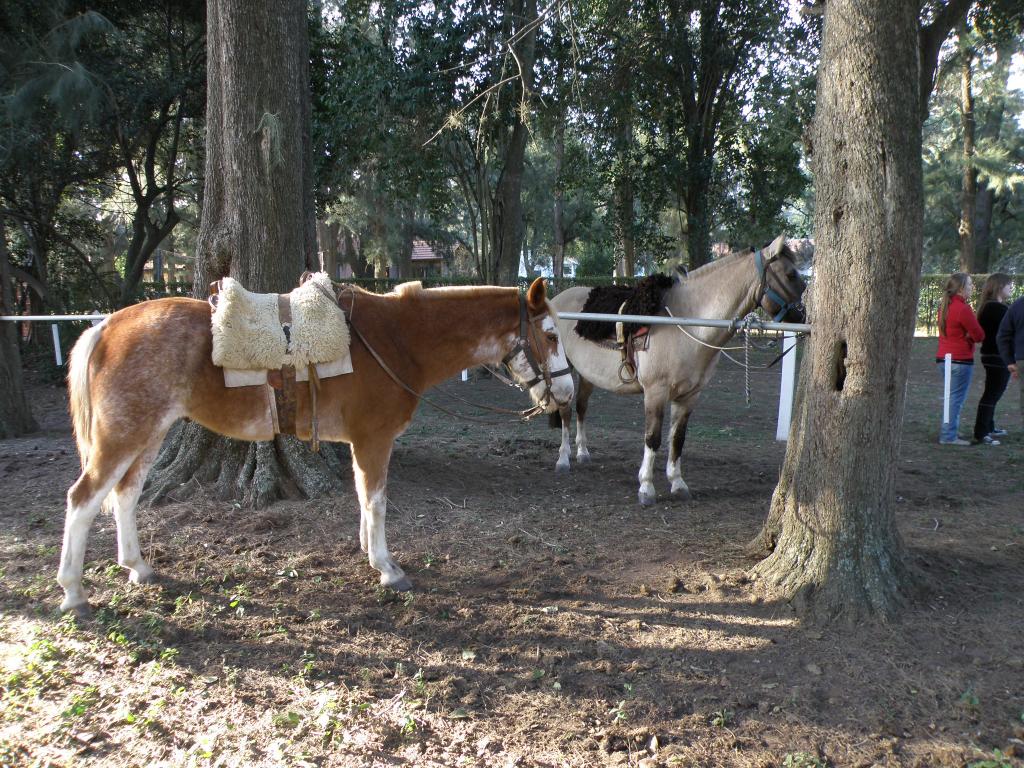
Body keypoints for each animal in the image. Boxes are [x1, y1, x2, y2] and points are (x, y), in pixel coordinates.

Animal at [59, 276, 573, 618]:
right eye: (550, 335)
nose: (567, 394)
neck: (397, 339)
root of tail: (107, 327)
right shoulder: (373, 440)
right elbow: (377, 501)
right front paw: (387, 568)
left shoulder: (361, 443)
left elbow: (364, 499)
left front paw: (369, 551)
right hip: (123, 436)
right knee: (83, 499)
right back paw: (73, 593)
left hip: (149, 434)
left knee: (126, 495)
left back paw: (137, 567)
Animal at [548, 237, 802, 507]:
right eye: (790, 274)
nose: (804, 315)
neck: (686, 323)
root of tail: (555, 300)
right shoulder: (655, 393)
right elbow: (653, 438)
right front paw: (646, 488)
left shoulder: (689, 396)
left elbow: (677, 439)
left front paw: (678, 483)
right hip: (562, 370)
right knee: (565, 410)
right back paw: (563, 459)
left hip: (587, 375)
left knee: (581, 407)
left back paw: (583, 452)